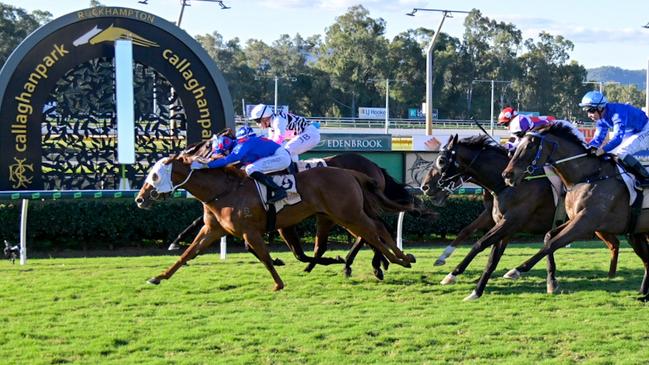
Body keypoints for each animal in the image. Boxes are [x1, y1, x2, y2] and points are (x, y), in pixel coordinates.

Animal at [135, 154, 416, 290]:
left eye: (155, 175)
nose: (139, 199)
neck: (225, 190)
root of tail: (351, 172)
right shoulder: (213, 229)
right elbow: (188, 254)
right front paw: (158, 277)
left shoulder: (251, 231)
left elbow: (266, 258)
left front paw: (278, 284)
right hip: (341, 215)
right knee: (373, 231)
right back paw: (388, 261)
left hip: (347, 213)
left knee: (373, 230)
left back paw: (397, 259)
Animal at [420, 134, 616, 298]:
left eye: (441, 160)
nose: (425, 186)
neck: (506, 185)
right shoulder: (502, 222)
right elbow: (470, 233)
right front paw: (444, 259)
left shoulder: (510, 221)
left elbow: (479, 244)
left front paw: (452, 274)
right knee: (614, 244)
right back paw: (611, 274)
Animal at [502, 121, 648, 298]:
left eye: (530, 146)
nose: (507, 175)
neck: (589, 177)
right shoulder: (576, 218)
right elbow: (548, 237)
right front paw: (552, 281)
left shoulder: (585, 222)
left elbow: (553, 243)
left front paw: (517, 270)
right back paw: (643, 292)